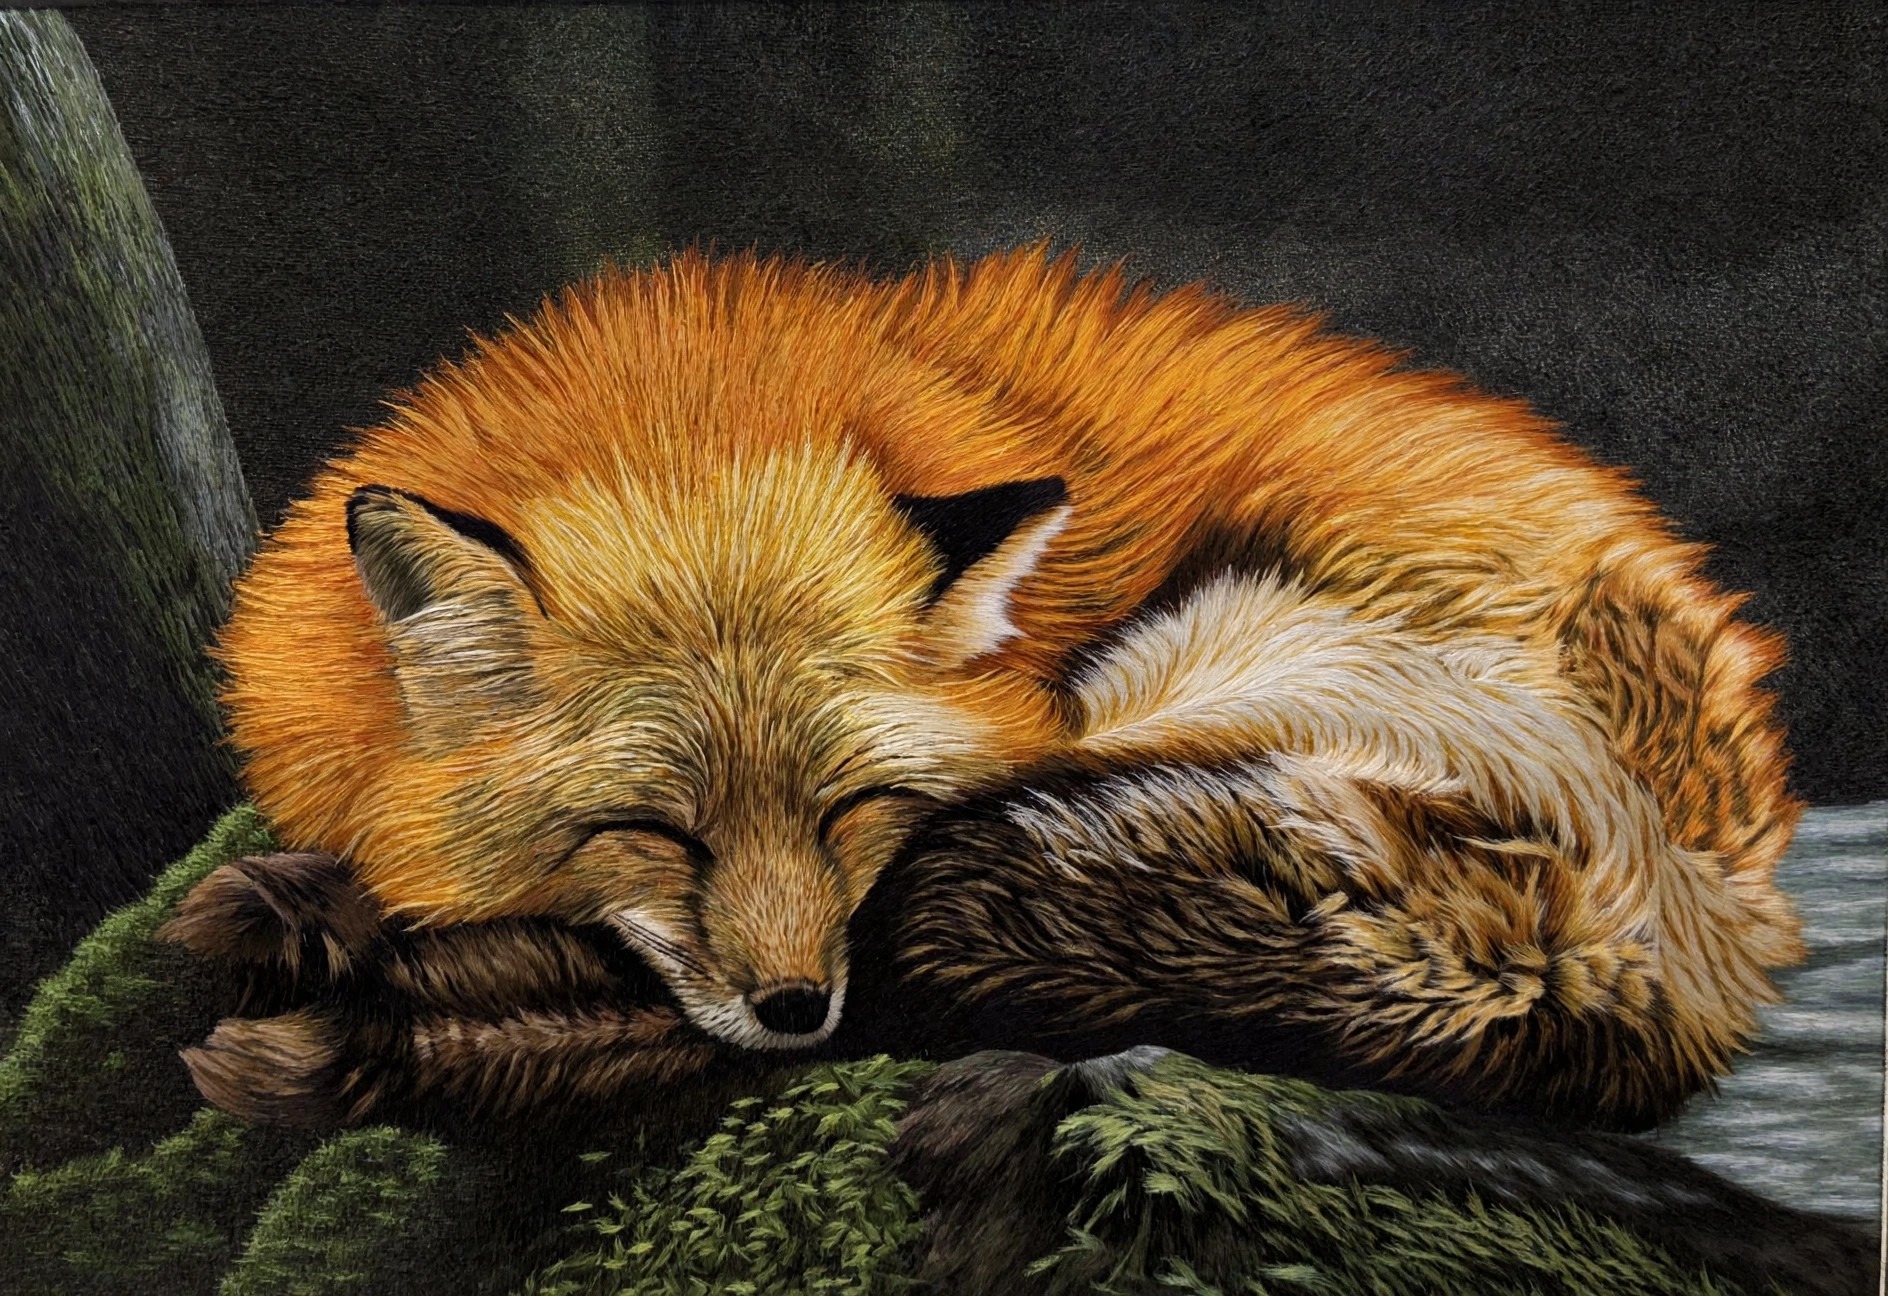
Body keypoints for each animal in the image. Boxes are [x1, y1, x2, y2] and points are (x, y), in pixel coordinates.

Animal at [177, 246, 1804, 1132]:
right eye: (656, 832)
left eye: (849, 809)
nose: (792, 1006)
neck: (682, 401)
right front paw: (321, 909)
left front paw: (351, 965)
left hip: (1195, 682)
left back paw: (352, 1030)